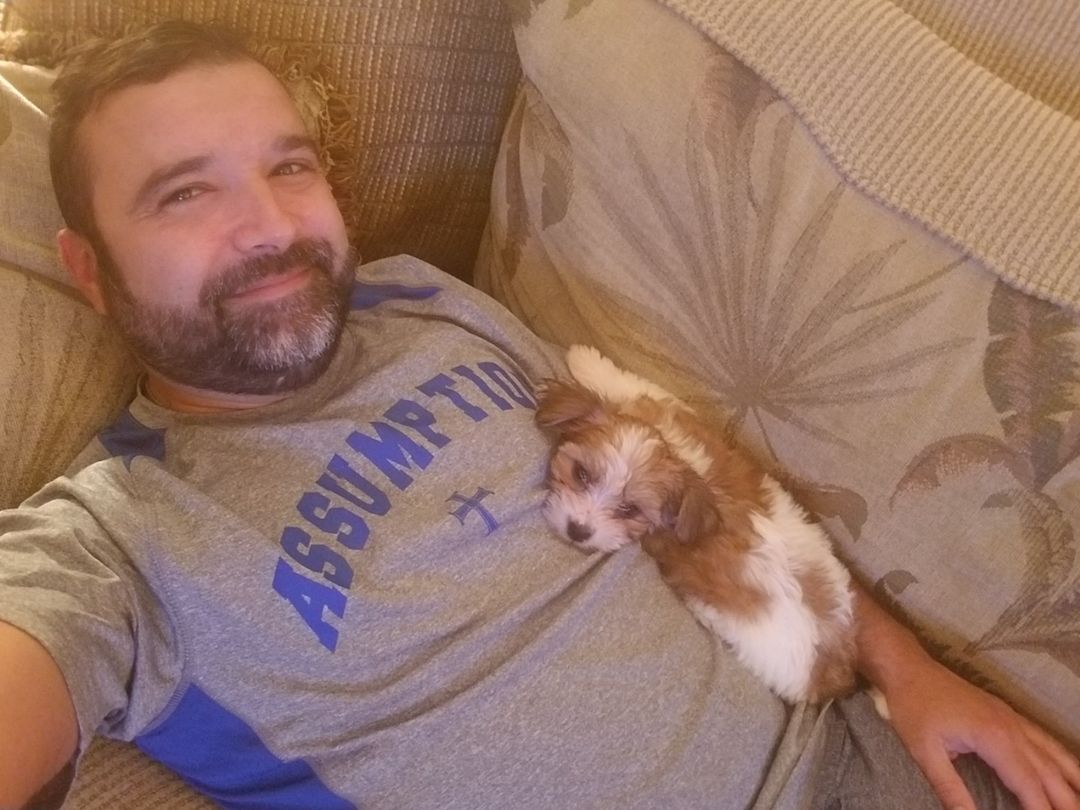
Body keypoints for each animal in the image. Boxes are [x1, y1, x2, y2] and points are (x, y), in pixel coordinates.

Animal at [535, 345, 860, 704]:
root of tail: (833, 668)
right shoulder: (671, 411)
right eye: (581, 474)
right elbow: (634, 384)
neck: (682, 464)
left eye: (628, 509)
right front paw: (586, 360)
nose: (578, 530)